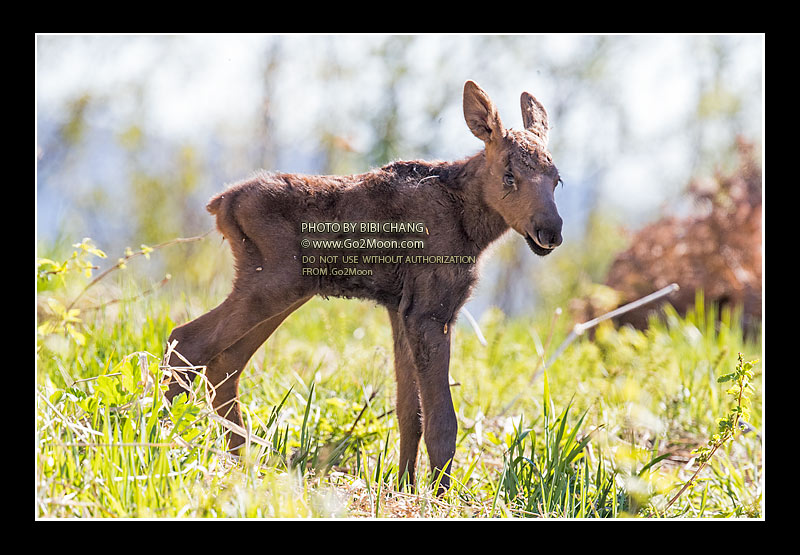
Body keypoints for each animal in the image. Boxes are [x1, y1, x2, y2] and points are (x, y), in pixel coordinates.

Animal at [164, 80, 564, 494]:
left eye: (557, 180)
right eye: (509, 175)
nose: (551, 231)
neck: (473, 226)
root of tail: (220, 203)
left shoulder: (400, 309)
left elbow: (409, 413)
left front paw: (405, 485)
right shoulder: (431, 312)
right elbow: (442, 422)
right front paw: (439, 495)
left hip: (278, 290)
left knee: (224, 364)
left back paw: (243, 465)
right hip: (273, 284)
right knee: (188, 340)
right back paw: (163, 440)